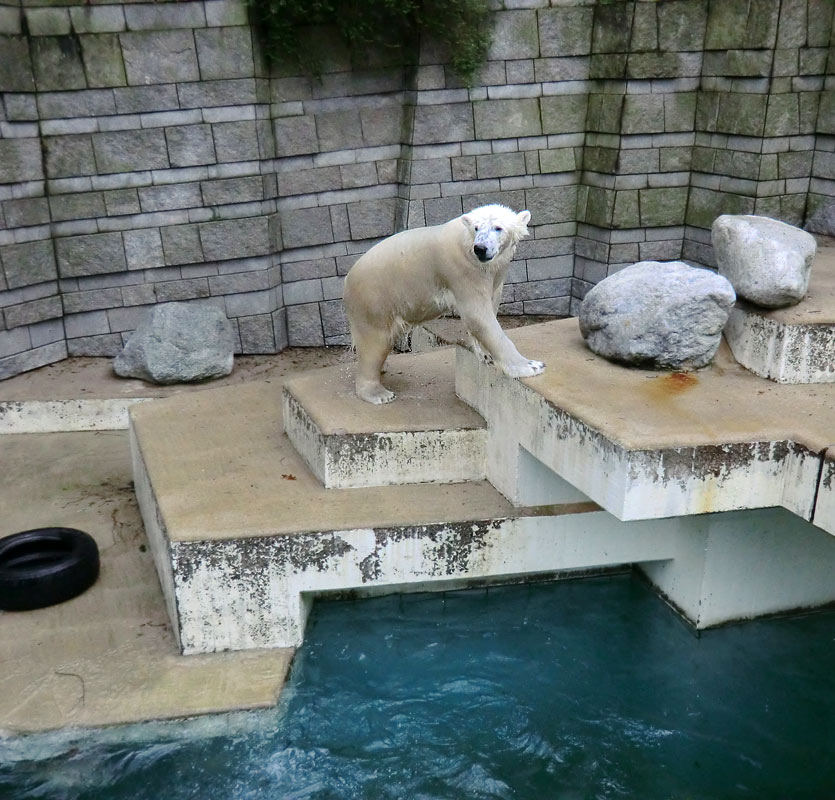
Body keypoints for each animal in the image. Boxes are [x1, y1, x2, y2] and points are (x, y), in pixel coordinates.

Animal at [342, 205, 544, 404]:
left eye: (498, 228)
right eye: (476, 228)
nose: (480, 248)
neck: (466, 242)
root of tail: (347, 279)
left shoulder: (495, 271)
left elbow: (490, 307)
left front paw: (484, 354)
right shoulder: (462, 269)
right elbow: (477, 316)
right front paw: (531, 366)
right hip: (374, 297)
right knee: (375, 341)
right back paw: (379, 394)